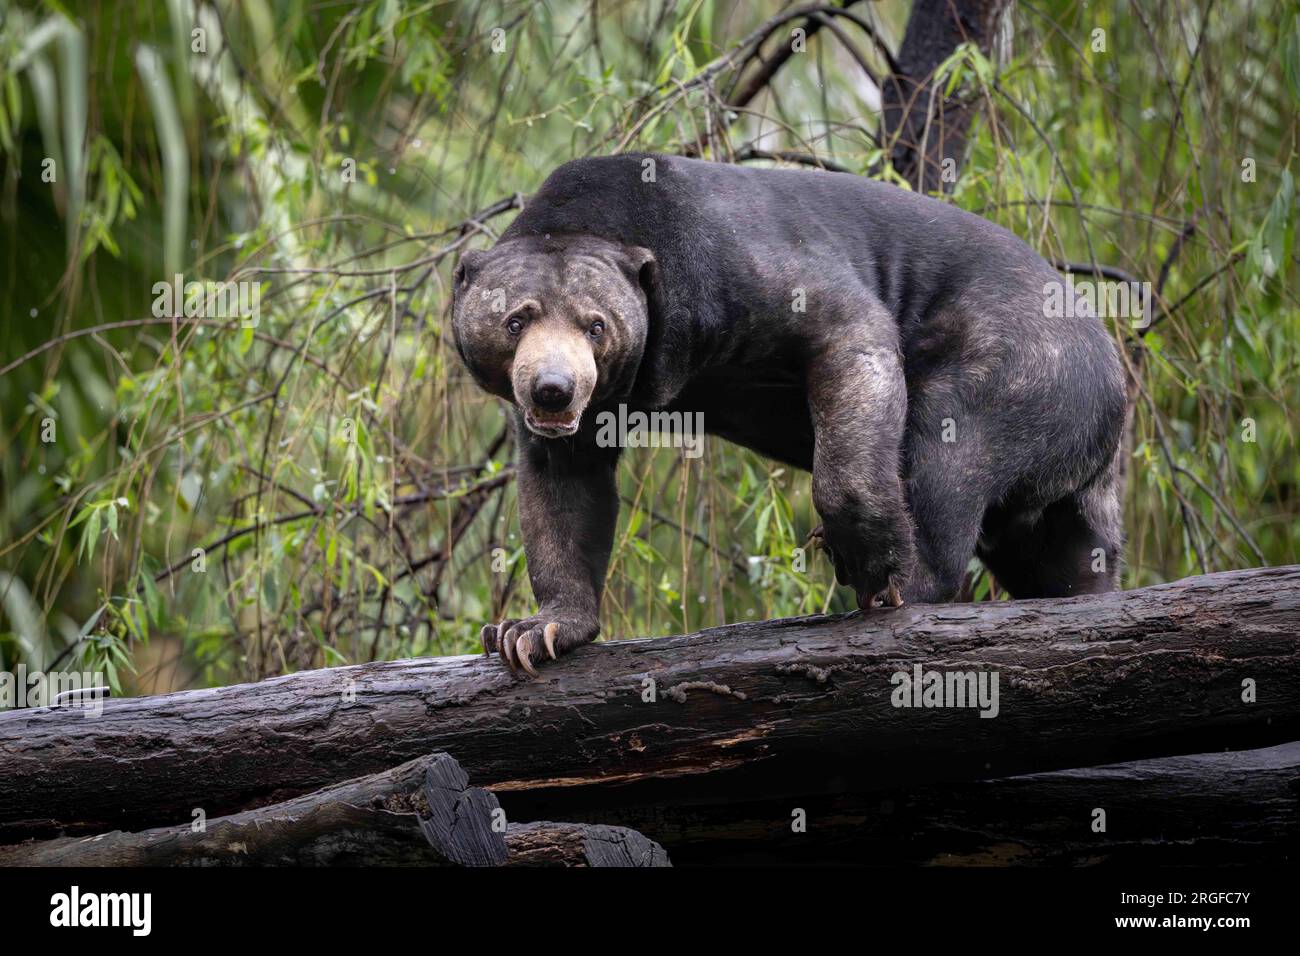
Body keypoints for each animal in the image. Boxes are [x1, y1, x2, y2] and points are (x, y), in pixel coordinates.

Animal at [451, 154, 1128, 675]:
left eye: (596, 326)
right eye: (516, 321)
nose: (554, 391)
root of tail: (1115, 389)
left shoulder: (737, 266)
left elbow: (850, 334)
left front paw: (870, 559)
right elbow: (563, 486)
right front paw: (531, 632)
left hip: (1015, 367)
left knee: (948, 457)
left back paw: (903, 586)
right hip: (1063, 483)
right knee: (1063, 557)